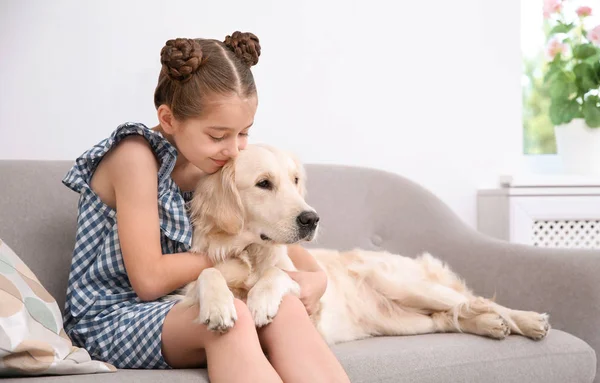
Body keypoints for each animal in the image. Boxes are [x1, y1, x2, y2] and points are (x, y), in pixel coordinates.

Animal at [176, 144, 552, 344]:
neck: (250, 252)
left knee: (476, 301)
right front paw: (218, 306)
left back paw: (529, 320)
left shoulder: (313, 308)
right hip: (408, 321)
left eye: (295, 180)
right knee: (452, 315)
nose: (312, 219)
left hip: (404, 285)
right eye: (263, 183)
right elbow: (207, 274)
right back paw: (490, 325)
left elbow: (278, 275)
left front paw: (260, 300)